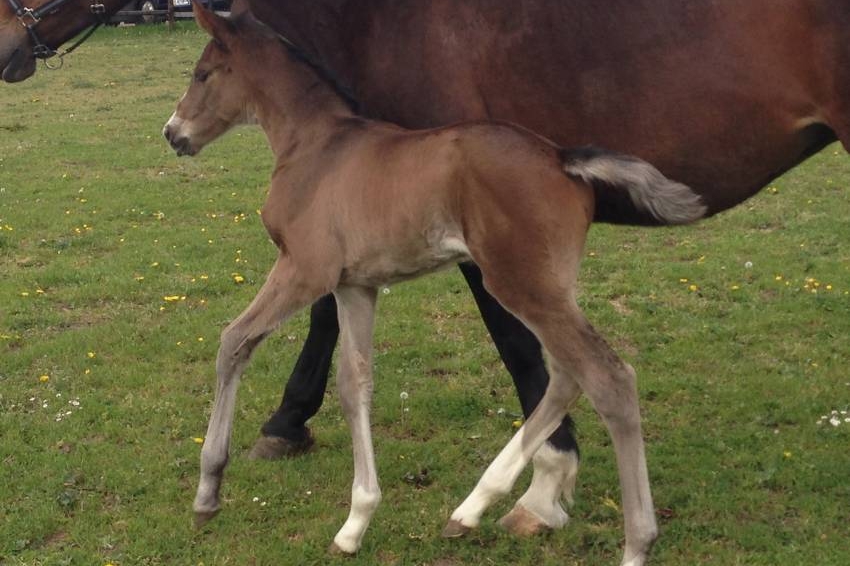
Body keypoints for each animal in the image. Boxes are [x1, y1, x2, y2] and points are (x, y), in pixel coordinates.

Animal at [164, 5, 704, 566]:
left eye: (202, 74)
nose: (172, 133)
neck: (315, 145)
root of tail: (561, 157)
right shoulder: (355, 286)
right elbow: (354, 384)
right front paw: (355, 523)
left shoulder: (303, 269)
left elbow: (233, 341)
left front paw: (208, 491)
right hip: (549, 287)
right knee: (566, 376)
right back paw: (474, 508)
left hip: (522, 284)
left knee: (608, 379)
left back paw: (635, 542)